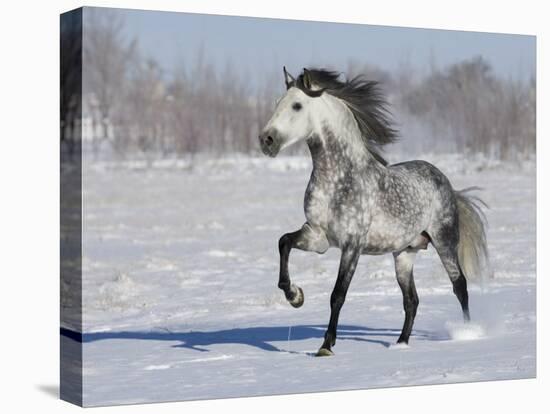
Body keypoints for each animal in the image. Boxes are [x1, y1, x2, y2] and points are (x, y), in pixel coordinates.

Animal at [258, 67, 492, 356]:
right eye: (278, 103)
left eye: (297, 105)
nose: (266, 140)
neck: (338, 180)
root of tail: (445, 182)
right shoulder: (318, 237)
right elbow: (284, 242)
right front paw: (295, 296)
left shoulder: (352, 245)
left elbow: (338, 294)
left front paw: (326, 346)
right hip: (404, 254)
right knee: (411, 300)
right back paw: (400, 344)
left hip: (444, 241)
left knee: (460, 286)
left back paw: (467, 333)